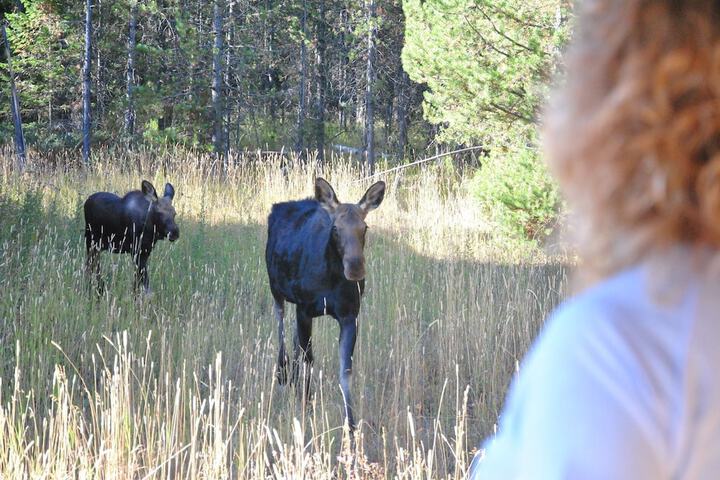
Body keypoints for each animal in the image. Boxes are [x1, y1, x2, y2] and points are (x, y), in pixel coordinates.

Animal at [266, 174, 388, 430]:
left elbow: (345, 369)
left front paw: (351, 423)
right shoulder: (304, 308)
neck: (330, 280)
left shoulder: (349, 315)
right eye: (335, 228)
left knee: (295, 340)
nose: (355, 267)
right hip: (276, 290)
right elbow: (309, 359)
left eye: (365, 227)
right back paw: (283, 374)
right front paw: (306, 405)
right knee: (281, 328)